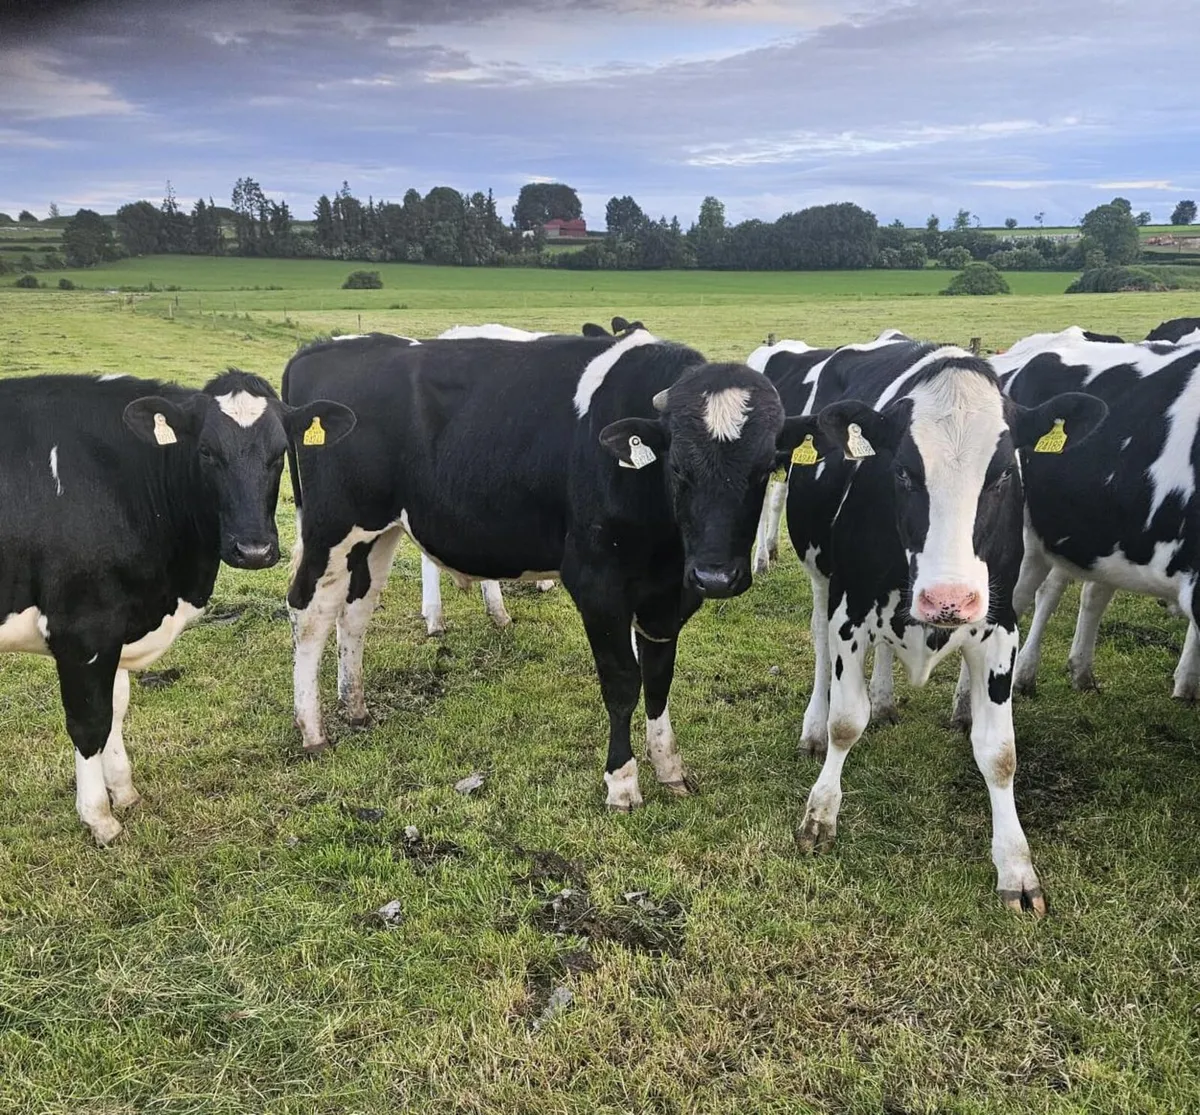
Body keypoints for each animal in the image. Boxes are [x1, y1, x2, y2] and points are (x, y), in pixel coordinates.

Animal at [0, 370, 354, 844]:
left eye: (280, 453)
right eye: (205, 451)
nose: (254, 550)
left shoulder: (116, 623)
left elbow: (115, 708)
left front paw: (124, 793)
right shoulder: (82, 629)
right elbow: (89, 722)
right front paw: (99, 818)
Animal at [282, 329, 813, 809]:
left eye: (765, 468)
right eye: (679, 467)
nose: (716, 577)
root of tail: (325, 348)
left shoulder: (667, 597)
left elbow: (659, 678)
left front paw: (670, 769)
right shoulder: (597, 584)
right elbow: (622, 681)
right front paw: (622, 784)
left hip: (377, 529)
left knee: (355, 610)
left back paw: (355, 707)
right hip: (331, 526)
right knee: (310, 612)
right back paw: (313, 729)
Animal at [781, 337, 1105, 914]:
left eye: (1003, 475)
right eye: (903, 472)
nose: (948, 599)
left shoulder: (1001, 627)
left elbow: (1000, 753)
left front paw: (1016, 866)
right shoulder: (850, 613)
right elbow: (847, 721)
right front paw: (820, 813)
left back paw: (887, 699)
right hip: (821, 575)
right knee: (820, 650)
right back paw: (814, 727)